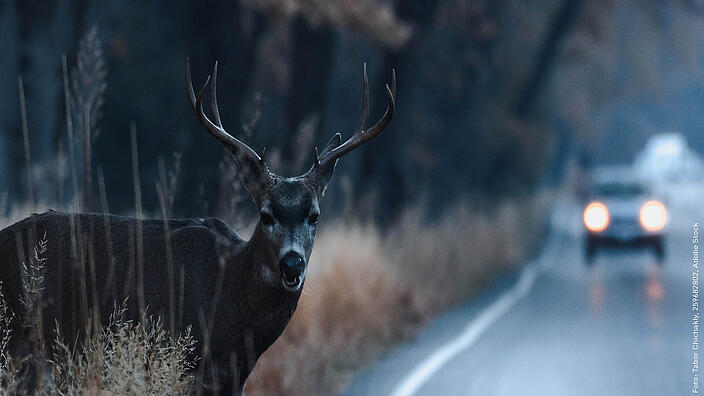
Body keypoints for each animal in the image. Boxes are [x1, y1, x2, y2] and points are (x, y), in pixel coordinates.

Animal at [0, 59, 396, 396]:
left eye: (314, 215)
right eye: (266, 214)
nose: (292, 263)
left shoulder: (233, 378)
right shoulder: (185, 361)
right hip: (24, 342)